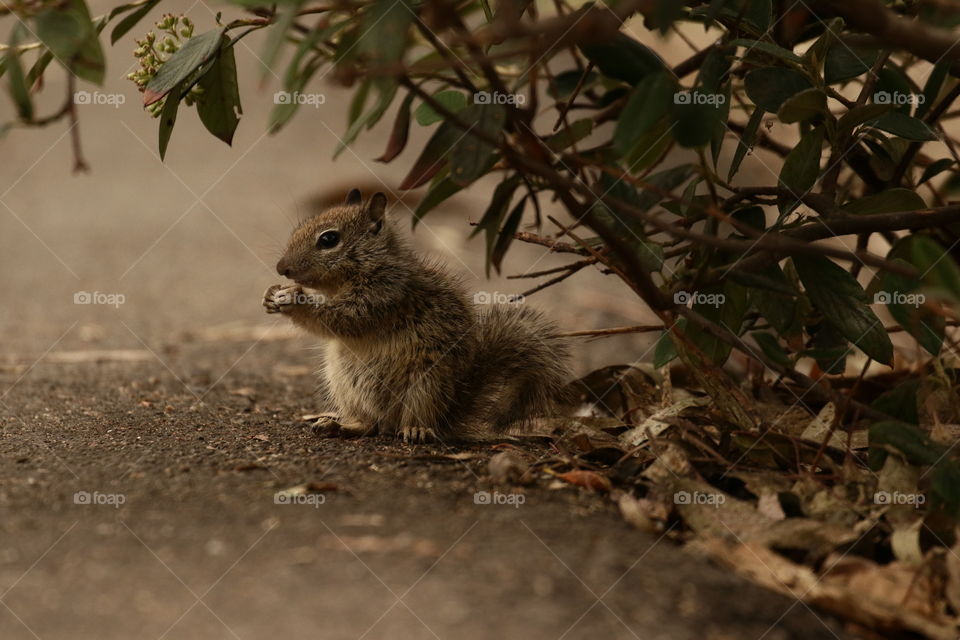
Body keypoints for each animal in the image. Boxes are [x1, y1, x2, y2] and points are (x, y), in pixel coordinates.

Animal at [262, 188, 568, 442]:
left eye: (329, 239)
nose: (281, 268)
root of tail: (448, 415)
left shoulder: (385, 295)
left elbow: (345, 320)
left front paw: (295, 300)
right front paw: (271, 296)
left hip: (425, 386)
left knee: (408, 421)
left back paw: (417, 430)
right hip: (343, 381)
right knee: (370, 424)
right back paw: (339, 425)